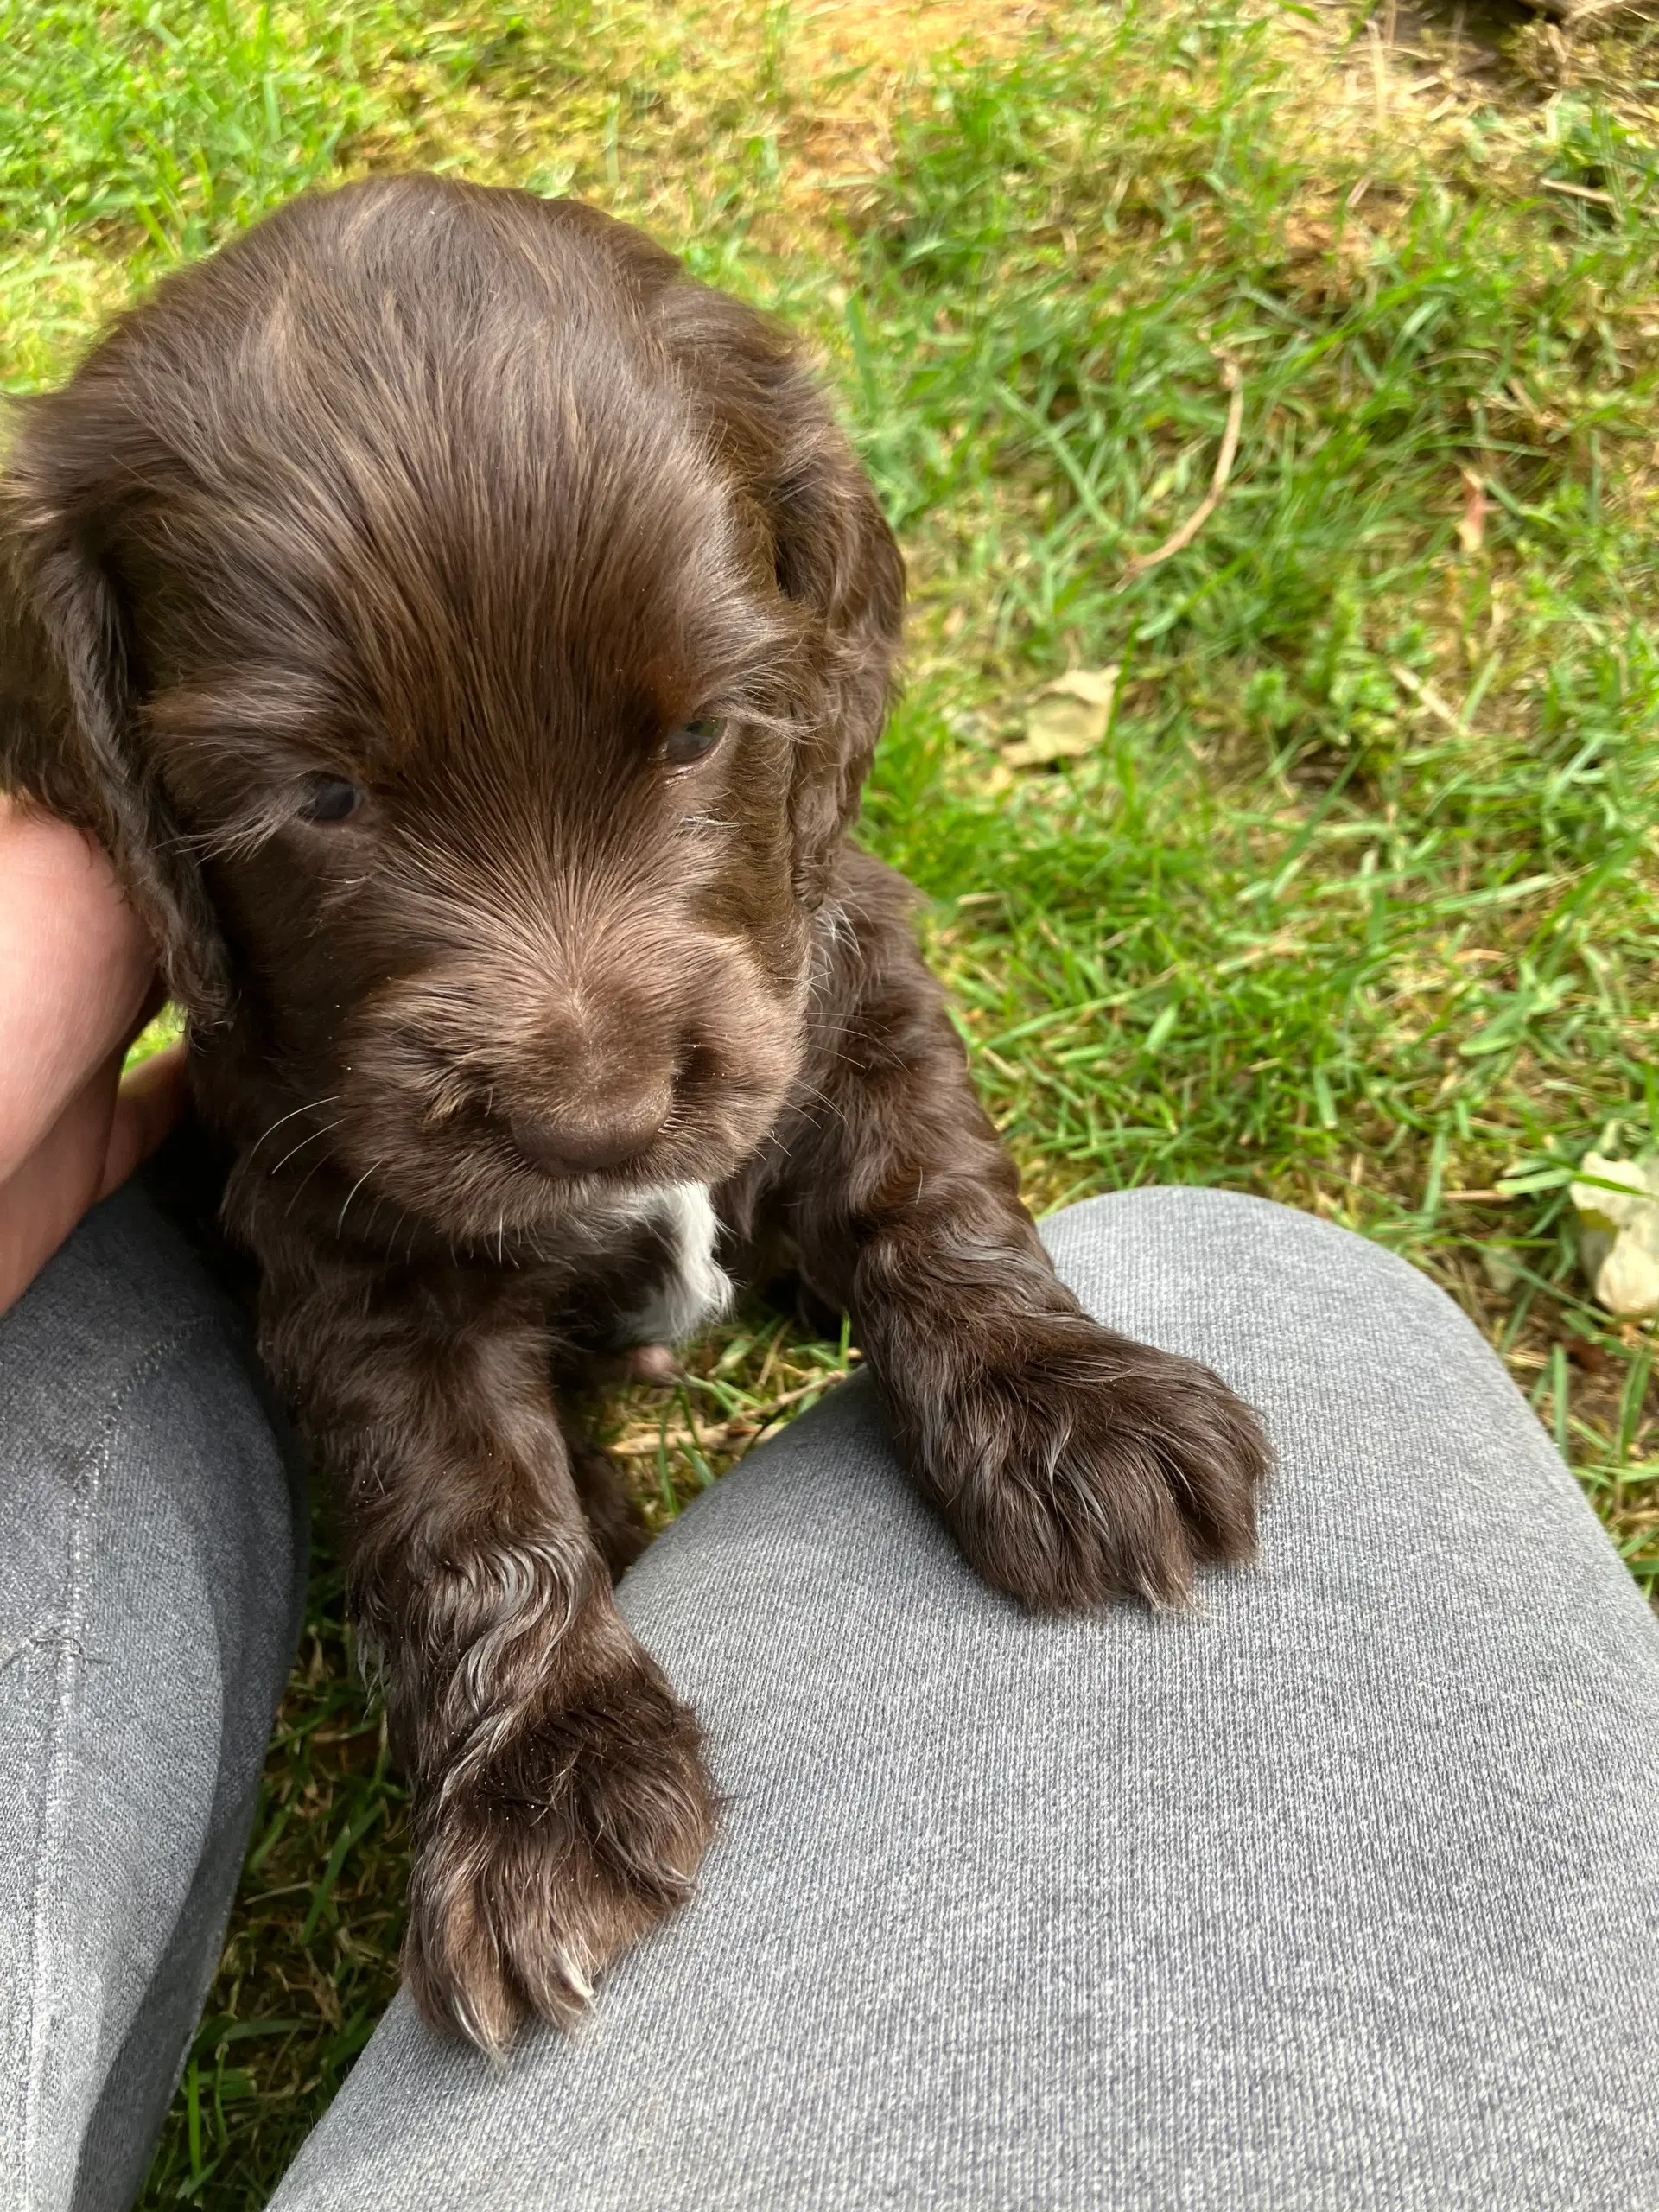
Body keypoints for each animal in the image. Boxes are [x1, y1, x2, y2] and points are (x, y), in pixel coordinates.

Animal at [0, 181, 1274, 2061]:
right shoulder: (341, 1233)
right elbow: (462, 1503)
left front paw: (1072, 1409)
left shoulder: (843, 972)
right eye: (321, 797)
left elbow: (933, 1196)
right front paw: (545, 1785)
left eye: (698, 732)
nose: (596, 1118)